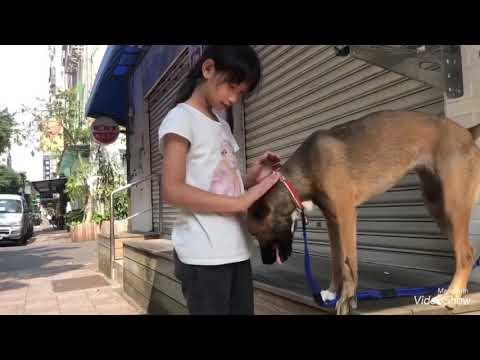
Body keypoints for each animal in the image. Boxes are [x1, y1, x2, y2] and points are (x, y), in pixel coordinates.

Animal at [246, 109, 480, 316]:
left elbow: (348, 262)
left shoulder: (346, 215)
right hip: (437, 206)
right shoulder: (332, 220)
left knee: (467, 253)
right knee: (464, 251)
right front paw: (332, 292)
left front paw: (347, 299)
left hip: (452, 204)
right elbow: (336, 261)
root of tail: (467, 132)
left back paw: (451, 295)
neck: (307, 168)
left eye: (255, 234)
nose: (265, 262)